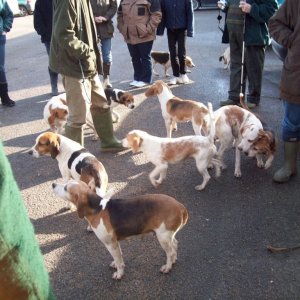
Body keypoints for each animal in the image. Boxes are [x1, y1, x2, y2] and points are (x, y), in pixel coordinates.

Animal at [51, 178, 188, 278]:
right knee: (175, 245)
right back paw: (173, 260)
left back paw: (167, 267)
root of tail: (179, 206)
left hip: (163, 237)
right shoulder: (115, 243)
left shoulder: (110, 243)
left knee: (170, 252)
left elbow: (118, 261)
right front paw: (116, 264)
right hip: (167, 235)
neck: (97, 208)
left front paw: (119, 273)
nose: (52, 184)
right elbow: (118, 257)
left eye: (65, 188)